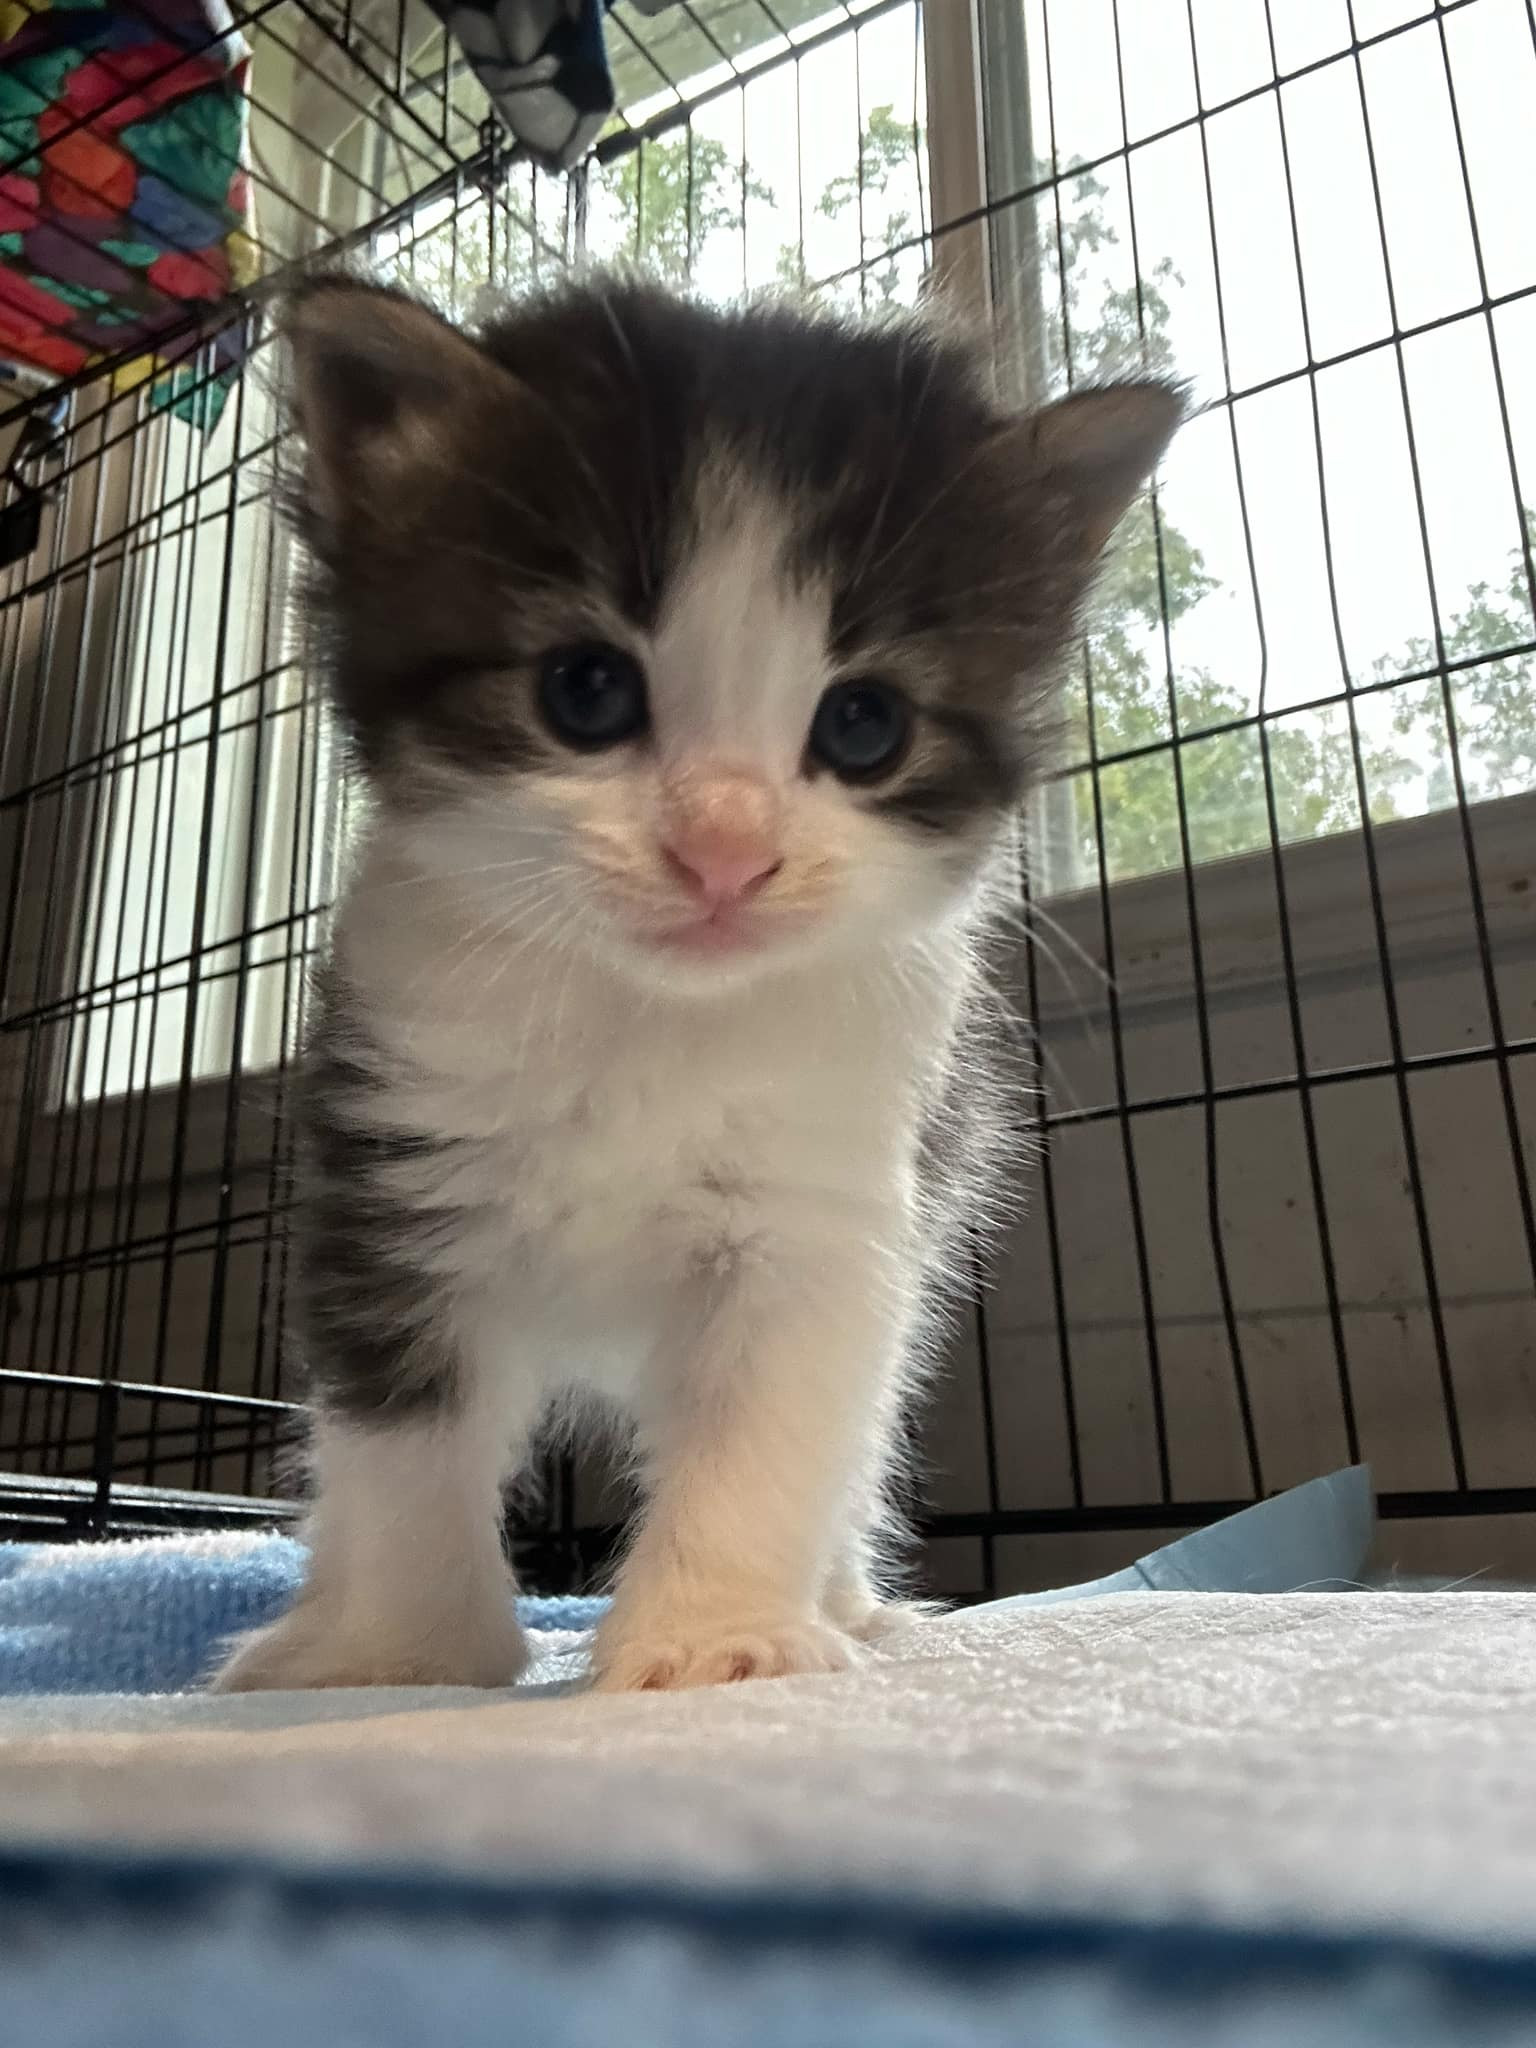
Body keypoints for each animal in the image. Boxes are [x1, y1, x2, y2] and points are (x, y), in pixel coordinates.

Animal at [214, 272, 1179, 1695]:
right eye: (585, 688)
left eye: (865, 724)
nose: (724, 848)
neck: (651, 1016)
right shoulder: (394, 1151)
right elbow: (400, 1426)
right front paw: (399, 1652)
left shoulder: (829, 1196)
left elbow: (778, 1412)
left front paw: (715, 1637)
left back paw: (842, 1597)